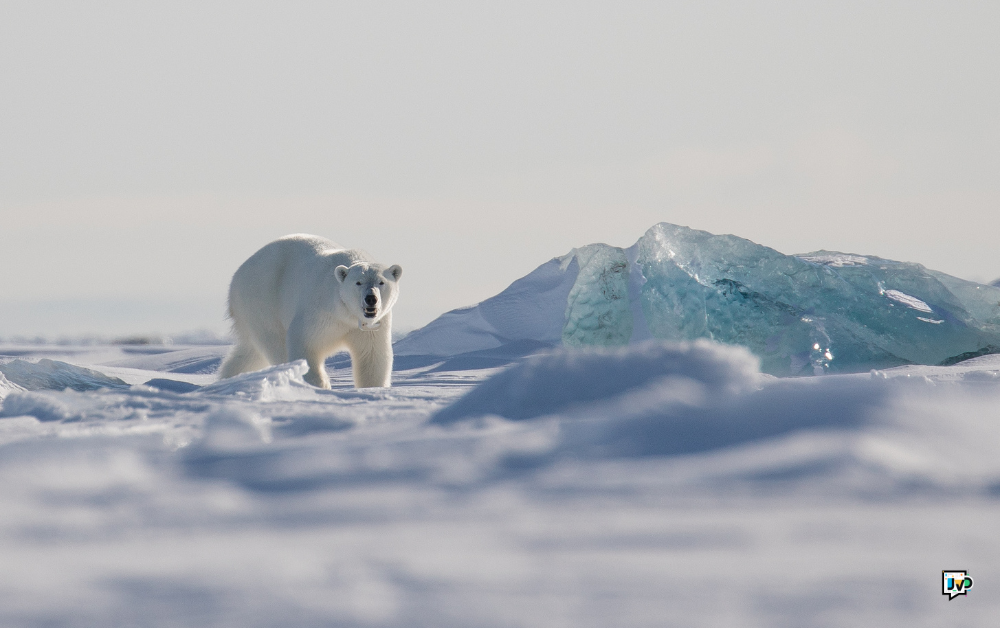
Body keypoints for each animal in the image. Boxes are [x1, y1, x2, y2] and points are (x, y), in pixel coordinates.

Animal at [219, 234, 402, 388]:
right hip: (262, 301)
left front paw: (372, 388)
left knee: (249, 353)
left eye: (381, 282)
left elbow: (372, 357)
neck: (345, 313)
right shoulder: (319, 312)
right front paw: (320, 385)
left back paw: (228, 378)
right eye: (358, 282)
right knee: (275, 343)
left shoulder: (371, 326)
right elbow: (304, 344)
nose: (371, 299)